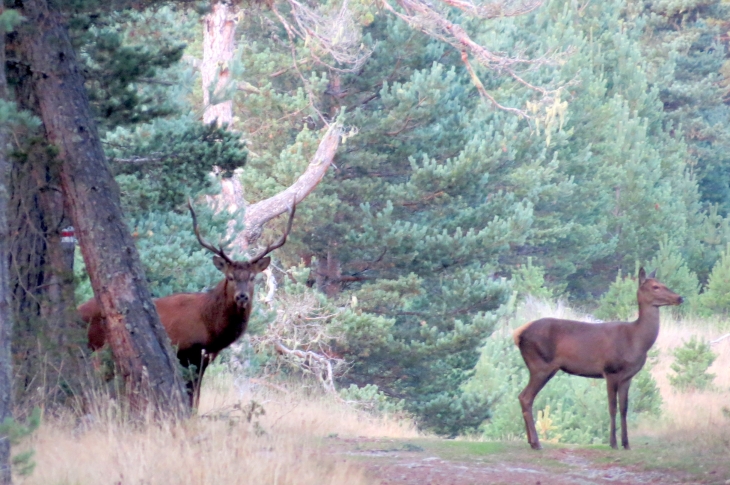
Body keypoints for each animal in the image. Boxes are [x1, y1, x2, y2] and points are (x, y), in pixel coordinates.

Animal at [81, 199, 294, 406]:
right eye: (230, 277)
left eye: (252, 278)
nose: (242, 296)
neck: (212, 331)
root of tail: (78, 310)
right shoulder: (186, 352)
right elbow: (192, 396)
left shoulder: (206, 356)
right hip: (94, 348)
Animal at [512, 266, 684, 448]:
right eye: (655, 286)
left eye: (663, 283)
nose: (680, 297)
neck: (636, 340)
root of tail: (518, 334)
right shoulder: (610, 371)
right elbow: (612, 407)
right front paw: (613, 443)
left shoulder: (627, 376)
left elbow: (624, 408)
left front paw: (626, 443)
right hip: (540, 365)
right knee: (525, 397)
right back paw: (536, 443)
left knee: (524, 397)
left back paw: (531, 441)